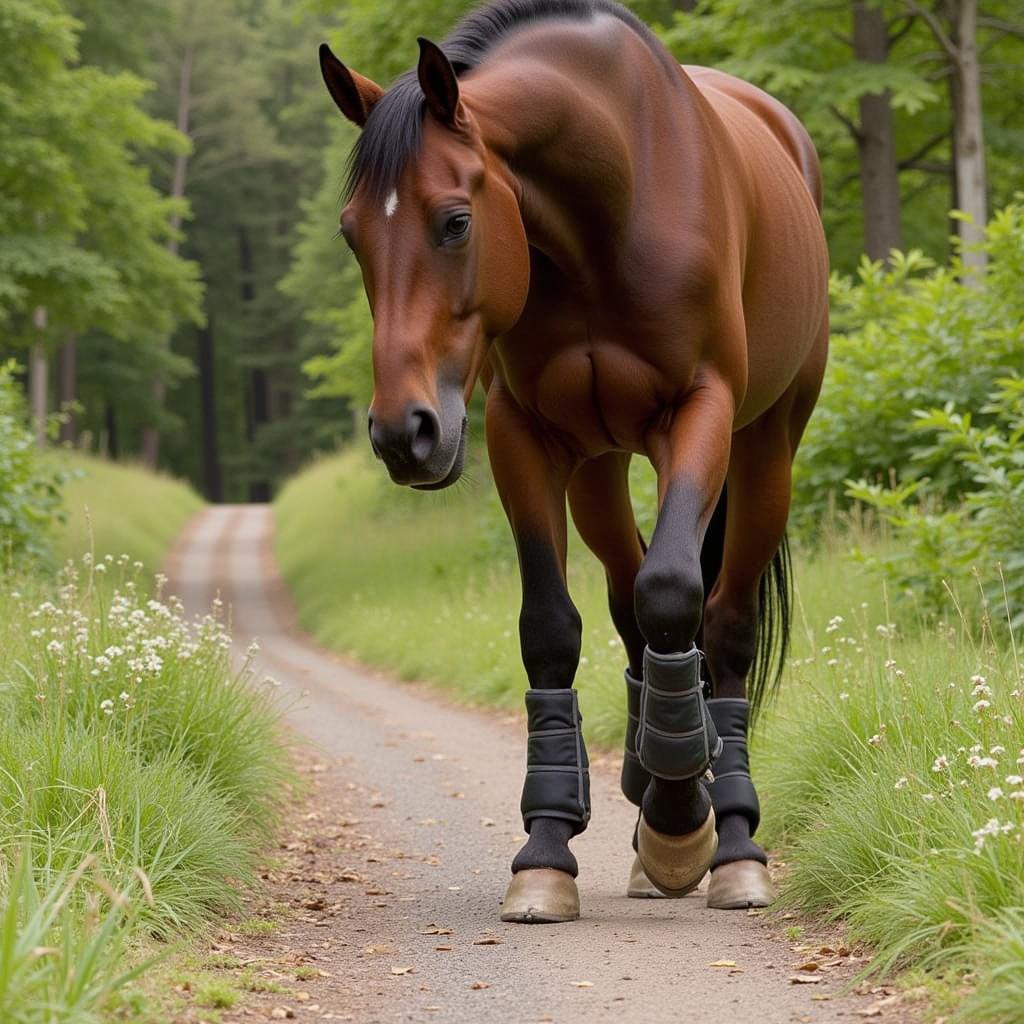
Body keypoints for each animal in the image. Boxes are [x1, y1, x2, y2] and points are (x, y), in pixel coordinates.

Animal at [315, 0, 827, 925]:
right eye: (352, 236)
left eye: (455, 220)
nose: (403, 433)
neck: (611, 201)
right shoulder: (524, 436)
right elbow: (554, 628)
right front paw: (551, 848)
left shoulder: (700, 411)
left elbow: (675, 594)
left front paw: (679, 823)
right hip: (598, 468)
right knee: (632, 608)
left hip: (766, 449)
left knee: (722, 627)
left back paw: (730, 837)